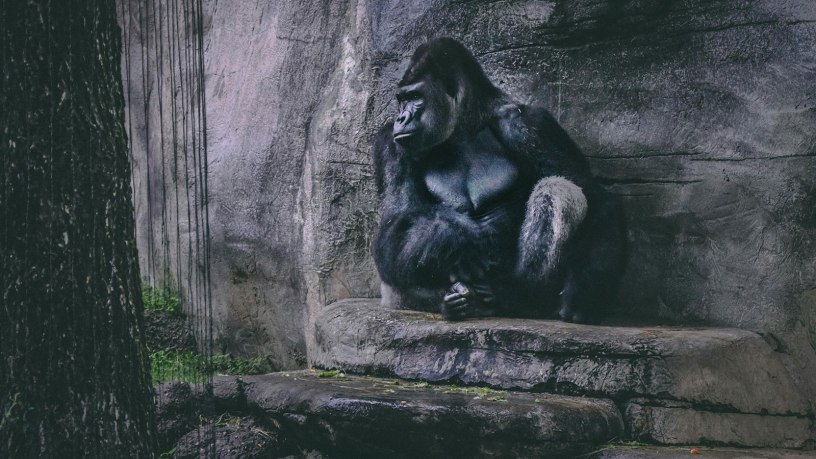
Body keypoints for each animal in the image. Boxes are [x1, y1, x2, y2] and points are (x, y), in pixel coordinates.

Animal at [373, 38, 626, 323]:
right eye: (402, 100)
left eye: (415, 98)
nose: (400, 118)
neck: (466, 124)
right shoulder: (390, 143)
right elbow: (397, 219)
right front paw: (446, 236)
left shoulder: (530, 123)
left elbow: (592, 192)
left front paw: (583, 291)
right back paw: (455, 301)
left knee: (557, 188)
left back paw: (520, 295)